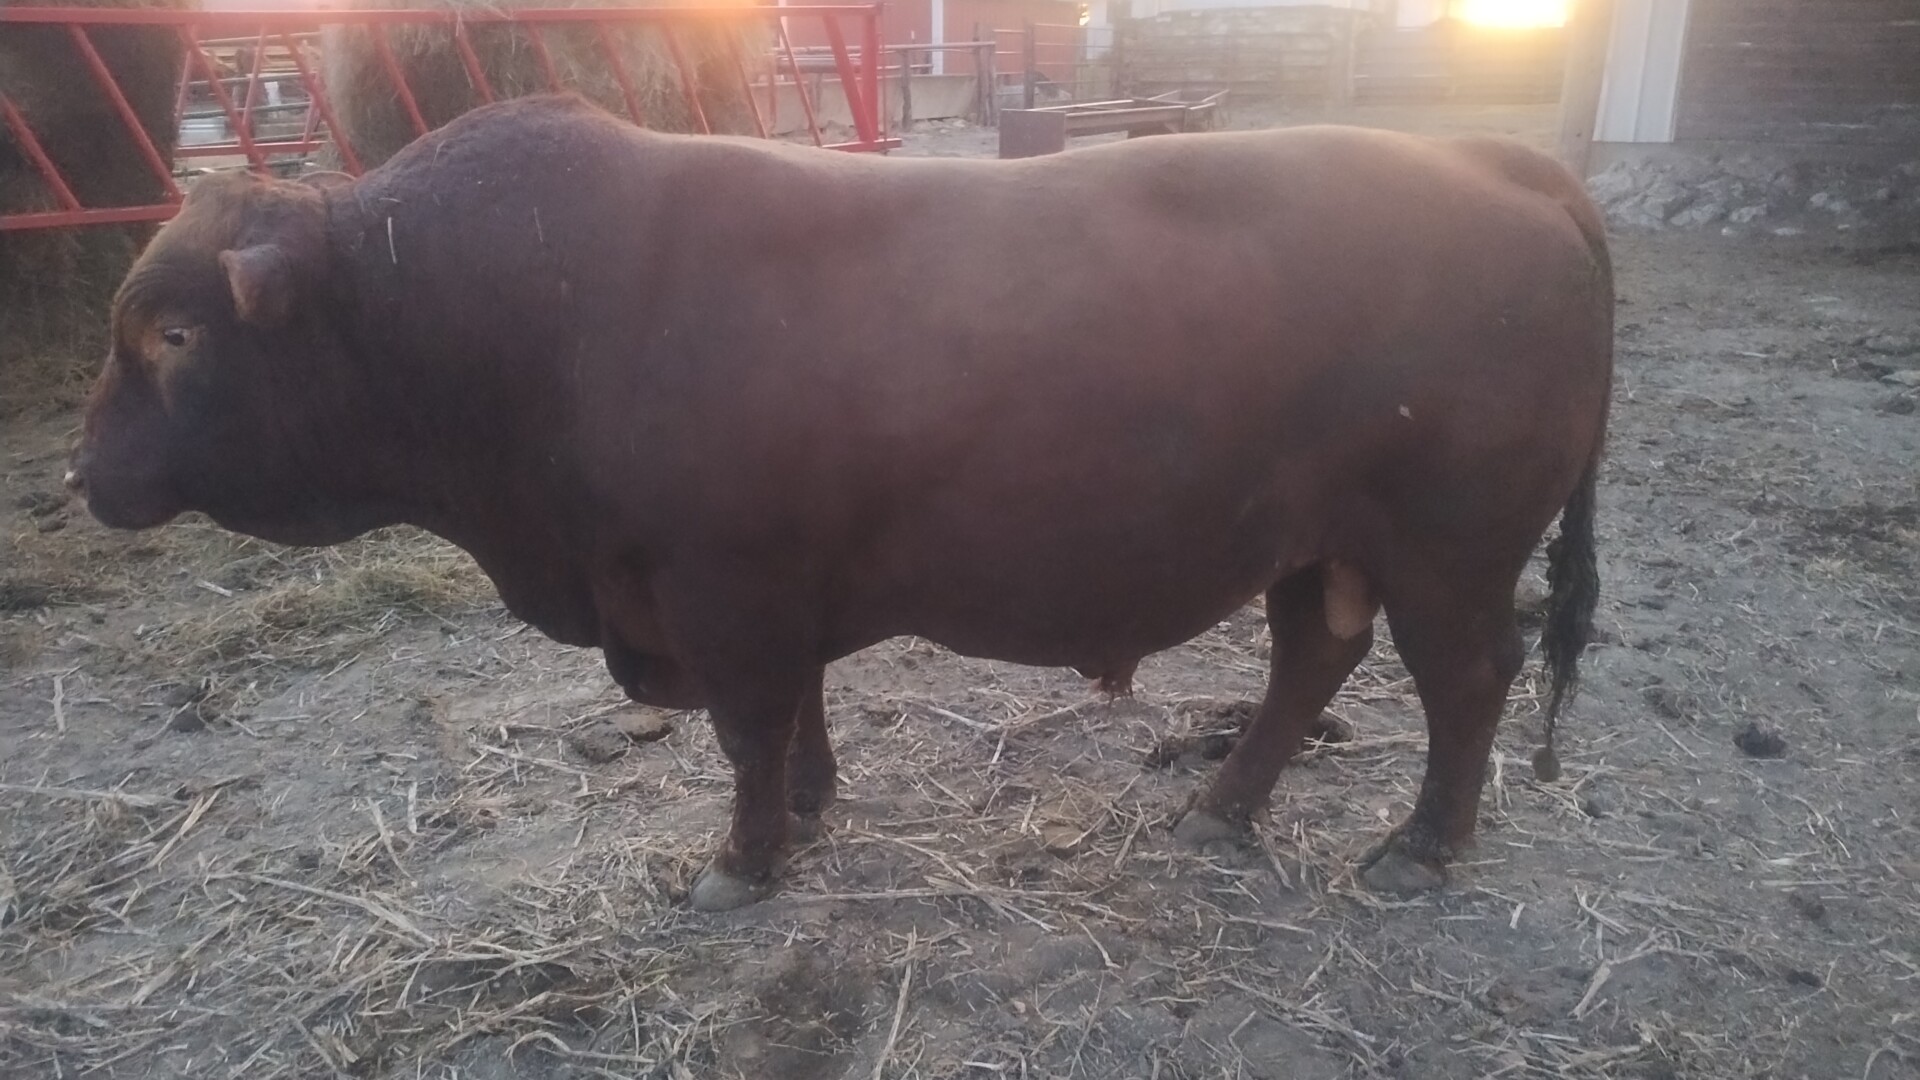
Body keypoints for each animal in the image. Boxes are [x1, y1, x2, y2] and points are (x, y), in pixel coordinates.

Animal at [67, 94, 1611, 911]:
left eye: (174, 335)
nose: (81, 474)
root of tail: (1488, 157)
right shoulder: (765, 590)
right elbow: (796, 713)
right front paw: (808, 810)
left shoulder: (723, 588)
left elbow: (748, 727)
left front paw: (744, 860)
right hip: (1321, 542)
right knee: (1311, 661)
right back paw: (1223, 809)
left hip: (1451, 546)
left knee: (1468, 678)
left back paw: (1422, 844)